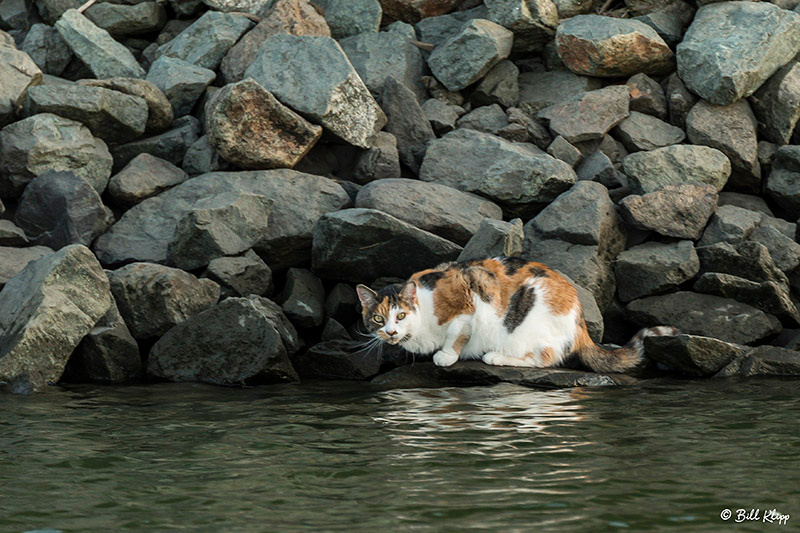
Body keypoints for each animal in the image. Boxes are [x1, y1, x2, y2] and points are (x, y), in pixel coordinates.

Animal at [356, 256, 676, 372]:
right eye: (378, 319)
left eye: (400, 315)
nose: (391, 332)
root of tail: (580, 322)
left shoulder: (468, 301)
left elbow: (458, 333)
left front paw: (446, 355)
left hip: (529, 320)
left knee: (545, 359)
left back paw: (495, 357)